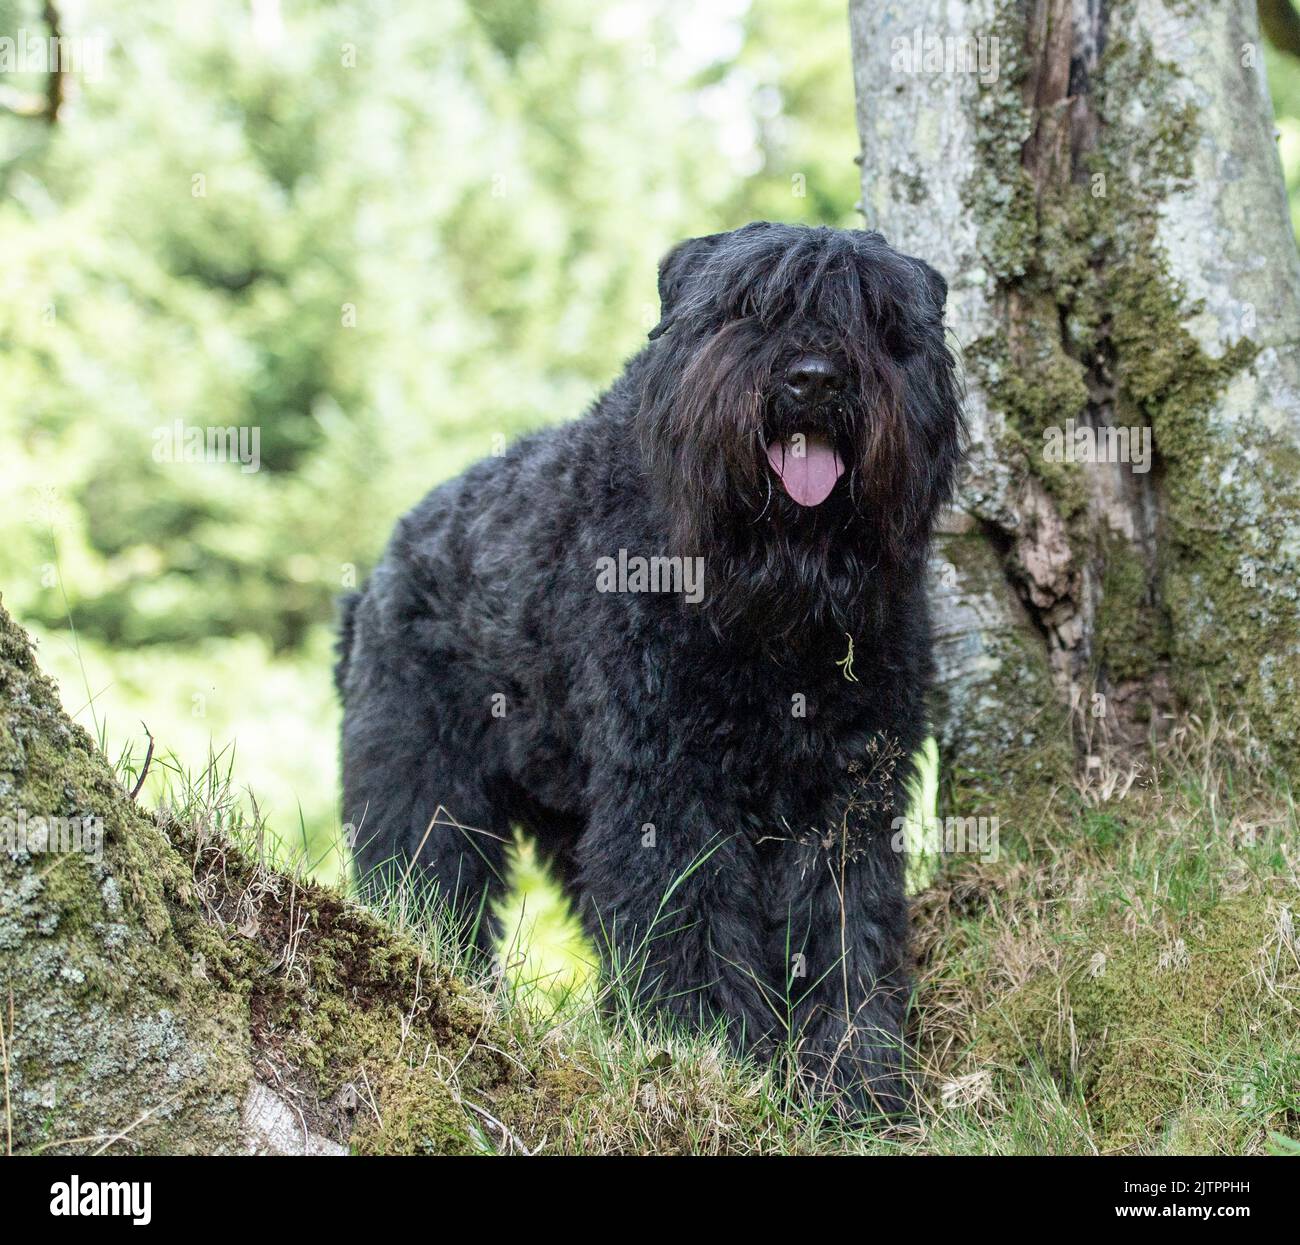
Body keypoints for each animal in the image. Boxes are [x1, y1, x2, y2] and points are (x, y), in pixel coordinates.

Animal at [335, 223, 967, 1122]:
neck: (774, 601)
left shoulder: (846, 793)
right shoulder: (670, 789)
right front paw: (720, 1060)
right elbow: (690, 925)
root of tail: (376, 577)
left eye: (877, 316)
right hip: (424, 783)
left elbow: (847, 929)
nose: (814, 377)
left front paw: (856, 1084)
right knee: (426, 879)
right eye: (748, 305)